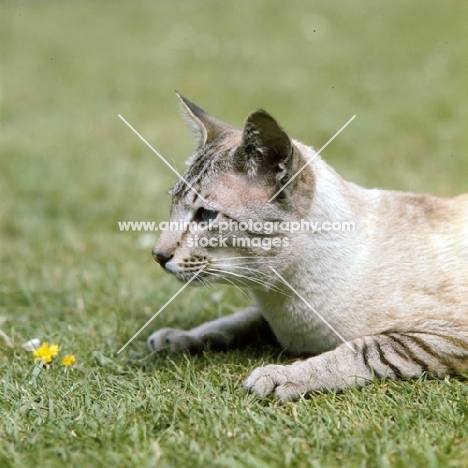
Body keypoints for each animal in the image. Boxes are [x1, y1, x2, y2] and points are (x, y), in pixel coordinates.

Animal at [147, 93, 468, 400]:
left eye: (206, 216)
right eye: (172, 204)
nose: (157, 256)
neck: (279, 301)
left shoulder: (442, 334)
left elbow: (363, 350)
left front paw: (279, 376)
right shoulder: (264, 315)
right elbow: (233, 322)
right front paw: (176, 338)